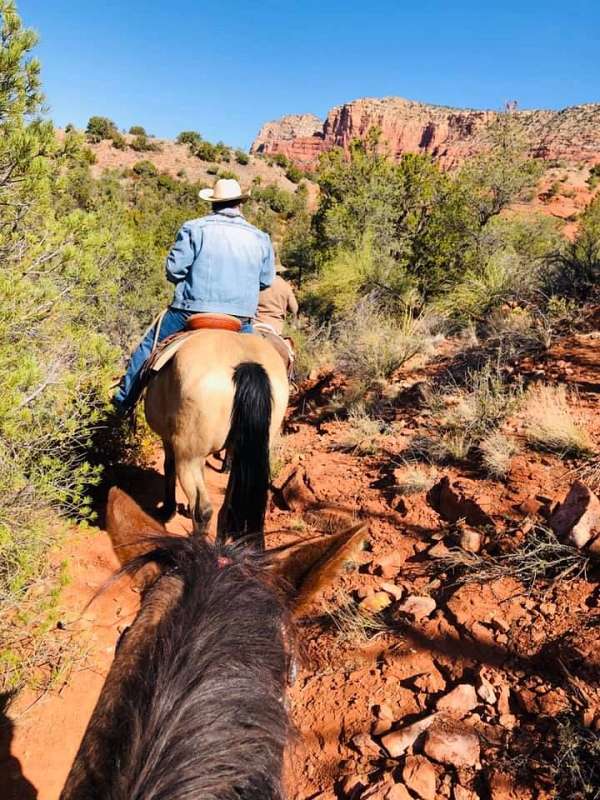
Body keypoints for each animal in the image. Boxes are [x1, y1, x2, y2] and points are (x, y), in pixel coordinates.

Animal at [143, 324, 288, 544]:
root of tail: (246, 363)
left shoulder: (169, 440)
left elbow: (168, 468)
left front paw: (167, 511)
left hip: (189, 456)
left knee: (202, 510)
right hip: (248, 451)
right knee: (227, 507)